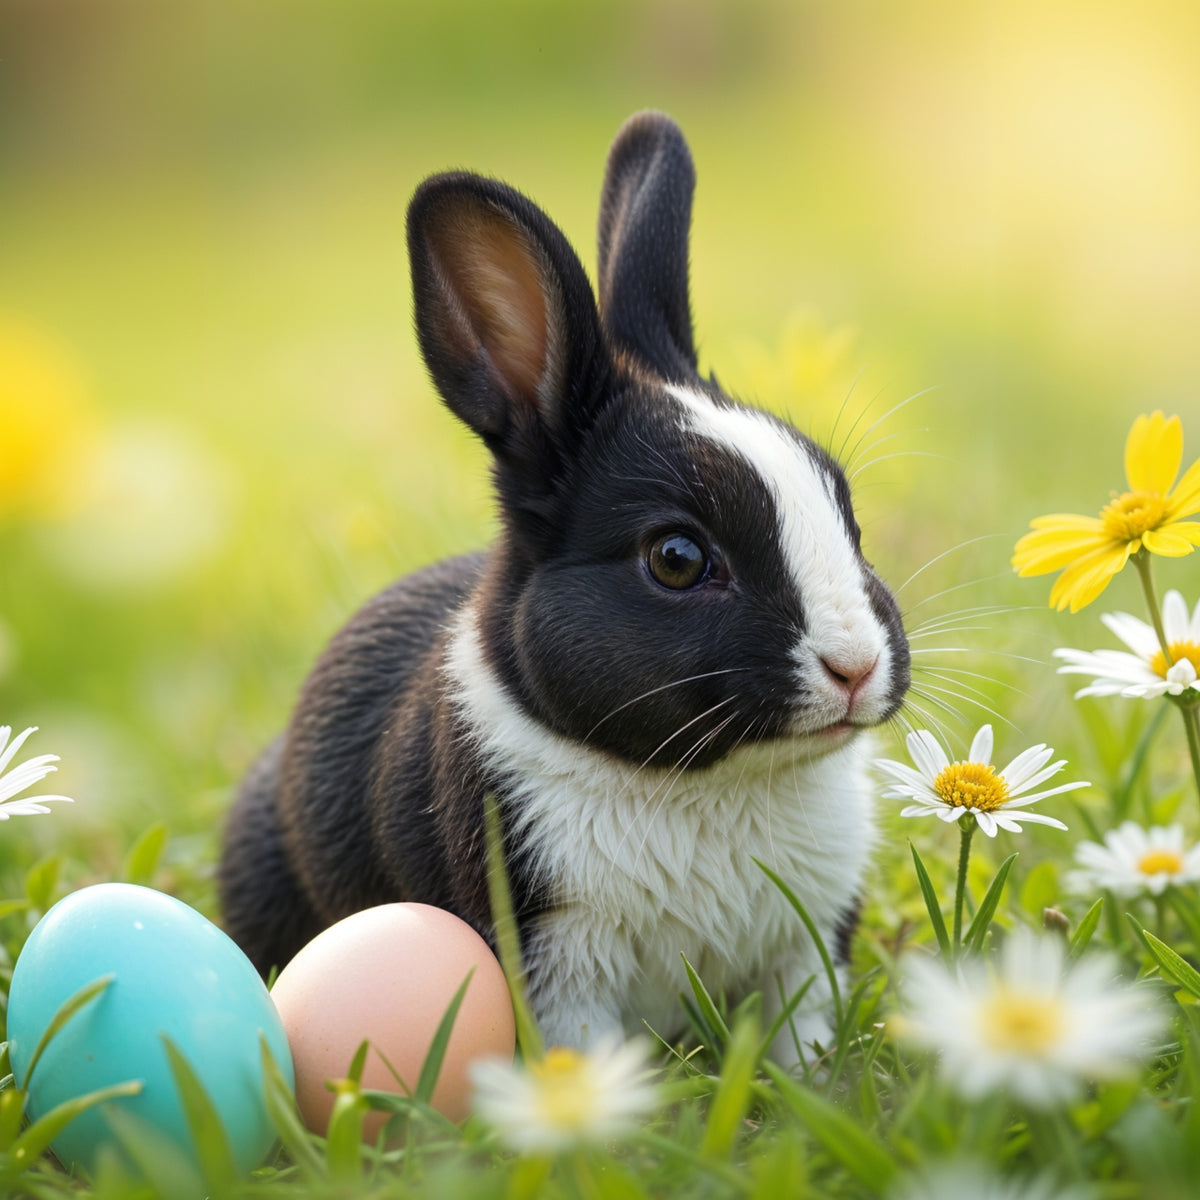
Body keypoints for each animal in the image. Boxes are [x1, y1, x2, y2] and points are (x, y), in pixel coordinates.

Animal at [218, 108, 907, 1056]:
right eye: (677, 559)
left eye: (848, 510)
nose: (856, 668)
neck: (708, 783)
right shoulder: (556, 957)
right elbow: (584, 1055)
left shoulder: (809, 942)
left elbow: (800, 1030)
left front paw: (811, 1077)